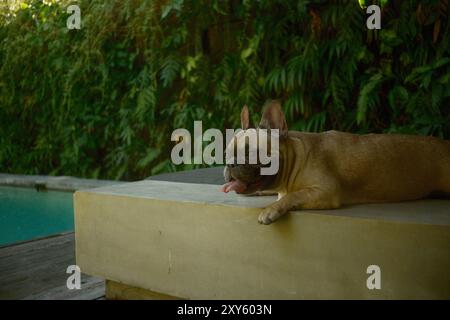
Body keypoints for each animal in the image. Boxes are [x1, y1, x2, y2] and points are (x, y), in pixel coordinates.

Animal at [223, 101, 450, 224]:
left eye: (251, 152)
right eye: (227, 152)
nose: (231, 163)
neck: (296, 158)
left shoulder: (325, 190)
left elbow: (294, 195)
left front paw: (270, 210)